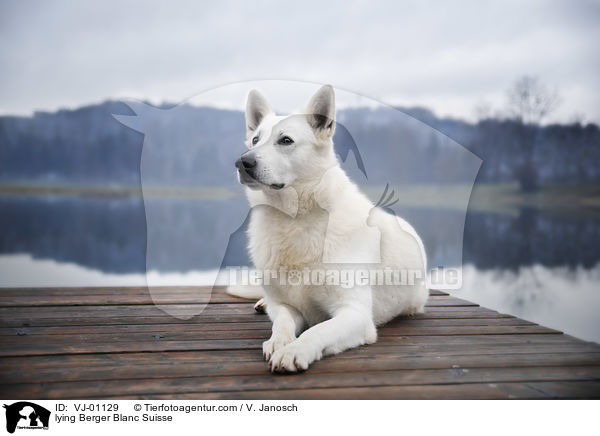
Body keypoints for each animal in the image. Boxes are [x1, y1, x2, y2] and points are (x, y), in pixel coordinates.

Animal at [227, 85, 428, 372]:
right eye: (255, 140)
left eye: (285, 140)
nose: (242, 162)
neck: (295, 220)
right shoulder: (286, 306)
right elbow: (282, 322)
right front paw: (279, 341)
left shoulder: (355, 314)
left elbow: (317, 330)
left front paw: (294, 350)